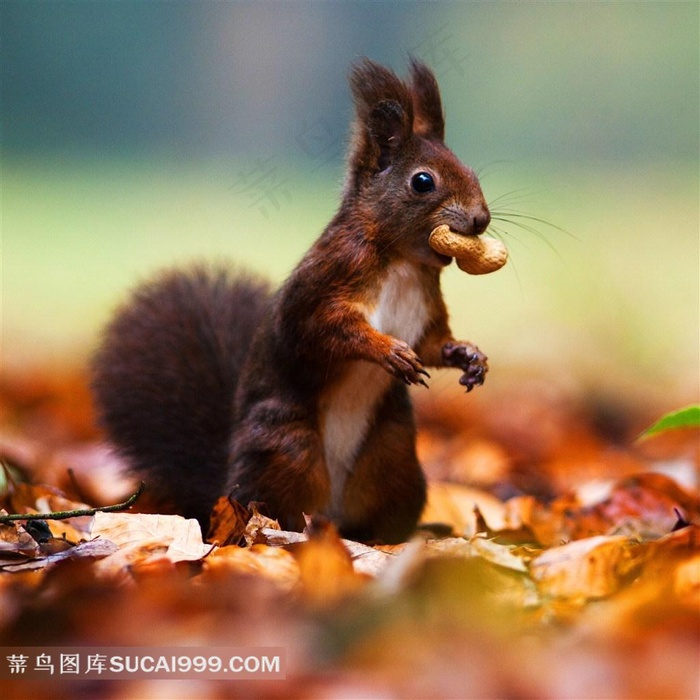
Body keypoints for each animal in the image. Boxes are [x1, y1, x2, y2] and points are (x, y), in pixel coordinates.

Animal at [91, 57, 492, 544]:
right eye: (422, 182)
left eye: (471, 171)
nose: (481, 219)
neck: (403, 262)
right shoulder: (324, 282)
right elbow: (323, 328)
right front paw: (387, 350)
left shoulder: (426, 312)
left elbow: (435, 344)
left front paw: (469, 356)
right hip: (288, 447)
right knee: (274, 505)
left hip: (394, 457)